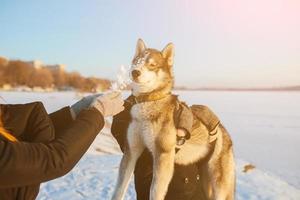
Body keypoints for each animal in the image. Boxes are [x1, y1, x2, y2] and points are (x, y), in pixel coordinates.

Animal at [111, 39, 236, 200]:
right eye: (137, 62)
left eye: (152, 65)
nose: (135, 72)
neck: (148, 101)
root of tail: (225, 132)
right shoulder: (131, 150)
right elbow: (119, 189)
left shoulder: (163, 155)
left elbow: (155, 191)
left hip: (219, 186)